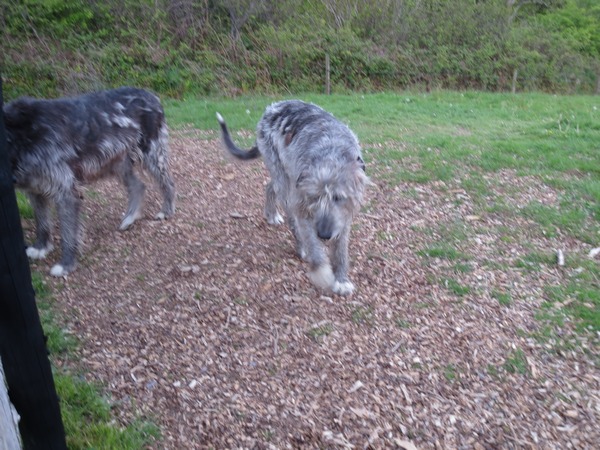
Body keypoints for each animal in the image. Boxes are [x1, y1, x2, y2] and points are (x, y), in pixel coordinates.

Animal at [4, 86, 176, 276]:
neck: (21, 134)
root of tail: (151, 95)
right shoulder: (36, 191)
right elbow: (42, 223)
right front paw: (41, 248)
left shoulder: (66, 192)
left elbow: (68, 234)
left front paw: (66, 265)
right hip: (117, 164)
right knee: (138, 186)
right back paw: (130, 217)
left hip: (152, 154)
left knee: (168, 183)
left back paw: (166, 211)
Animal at [218, 100, 368, 296]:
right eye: (314, 197)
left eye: (338, 197)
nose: (324, 235)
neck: (330, 152)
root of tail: (272, 108)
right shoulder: (302, 204)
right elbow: (311, 241)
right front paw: (321, 271)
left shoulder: (344, 215)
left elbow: (341, 249)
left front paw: (341, 280)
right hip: (282, 178)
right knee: (289, 212)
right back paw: (298, 242)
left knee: (270, 186)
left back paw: (271, 213)